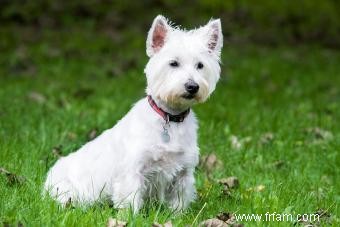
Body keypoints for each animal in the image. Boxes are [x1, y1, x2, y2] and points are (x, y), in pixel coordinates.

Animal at [43, 14, 223, 213]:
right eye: (173, 63)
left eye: (200, 65)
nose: (192, 86)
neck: (170, 117)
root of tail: (47, 179)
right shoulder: (133, 170)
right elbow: (131, 198)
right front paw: (130, 216)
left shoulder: (184, 172)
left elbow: (179, 200)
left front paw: (178, 215)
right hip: (68, 190)